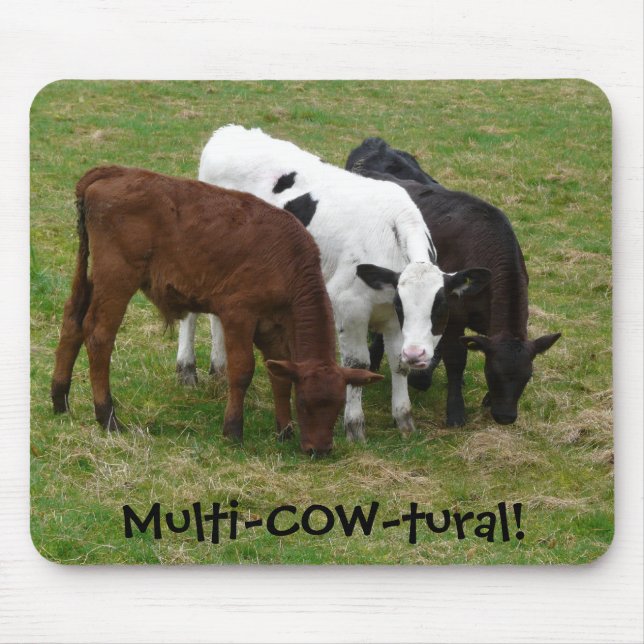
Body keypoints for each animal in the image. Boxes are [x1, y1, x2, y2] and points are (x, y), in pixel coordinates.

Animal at [51, 166, 383, 455]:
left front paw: (284, 430)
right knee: (98, 335)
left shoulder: (271, 327)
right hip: (117, 277)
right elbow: (242, 371)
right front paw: (233, 430)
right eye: (304, 403)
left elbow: (279, 375)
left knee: (72, 322)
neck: (287, 260)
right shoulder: (238, 314)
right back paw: (107, 416)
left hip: (90, 275)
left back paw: (60, 400)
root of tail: (115, 171)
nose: (320, 450)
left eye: (337, 406)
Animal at [176, 125, 490, 441]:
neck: (392, 235)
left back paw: (219, 369)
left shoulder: (391, 319)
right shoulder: (350, 308)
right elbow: (357, 365)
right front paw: (354, 426)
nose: (417, 355)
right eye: (405, 305)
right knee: (189, 313)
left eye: (440, 307)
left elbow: (397, 365)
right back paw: (187, 369)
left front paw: (404, 419)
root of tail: (229, 132)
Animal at [346, 137, 561, 427]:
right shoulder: (454, 315)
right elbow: (456, 360)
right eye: (492, 373)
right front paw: (455, 410)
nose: (505, 417)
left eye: (527, 377)